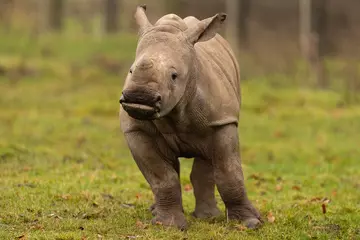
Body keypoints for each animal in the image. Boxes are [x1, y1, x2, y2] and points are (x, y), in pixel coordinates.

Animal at [119, 4, 262, 230]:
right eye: (131, 70)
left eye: (174, 76)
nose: (139, 98)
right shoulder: (136, 129)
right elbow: (162, 177)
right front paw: (168, 225)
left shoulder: (222, 121)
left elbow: (229, 172)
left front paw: (249, 223)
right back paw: (158, 211)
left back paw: (208, 217)